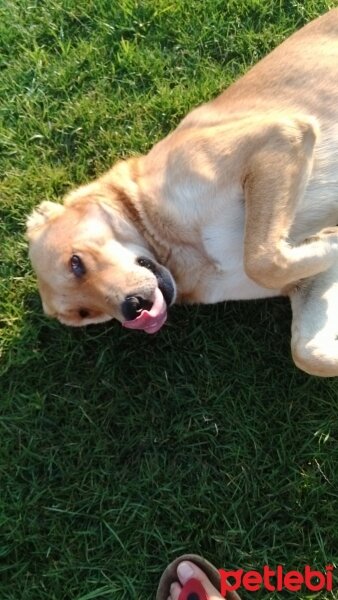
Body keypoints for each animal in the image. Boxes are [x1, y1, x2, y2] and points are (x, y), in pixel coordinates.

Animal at [27, 8, 338, 376]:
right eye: (84, 314)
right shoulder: (309, 280)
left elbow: (261, 258)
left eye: (76, 264)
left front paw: (333, 238)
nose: (133, 309)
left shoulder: (280, 135)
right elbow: (307, 352)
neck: (179, 252)